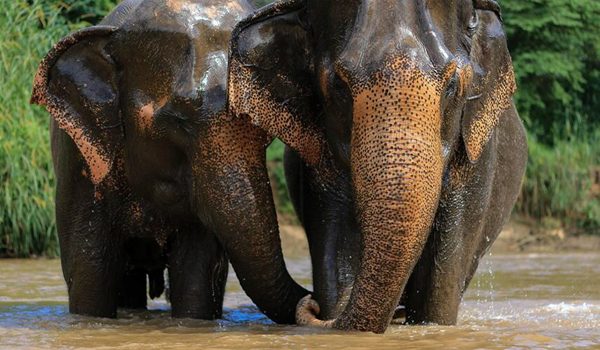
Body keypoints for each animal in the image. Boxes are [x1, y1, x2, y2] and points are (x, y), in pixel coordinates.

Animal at [31, 0, 324, 324]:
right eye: (180, 121)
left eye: (263, 132)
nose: (314, 303)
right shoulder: (80, 165)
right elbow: (89, 274)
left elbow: (195, 275)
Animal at [227, 0, 528, 334]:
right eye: (339, 85)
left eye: (453, 86)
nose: (312, 306)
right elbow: (336, 245)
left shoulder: (476, 160)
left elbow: (441, 285)